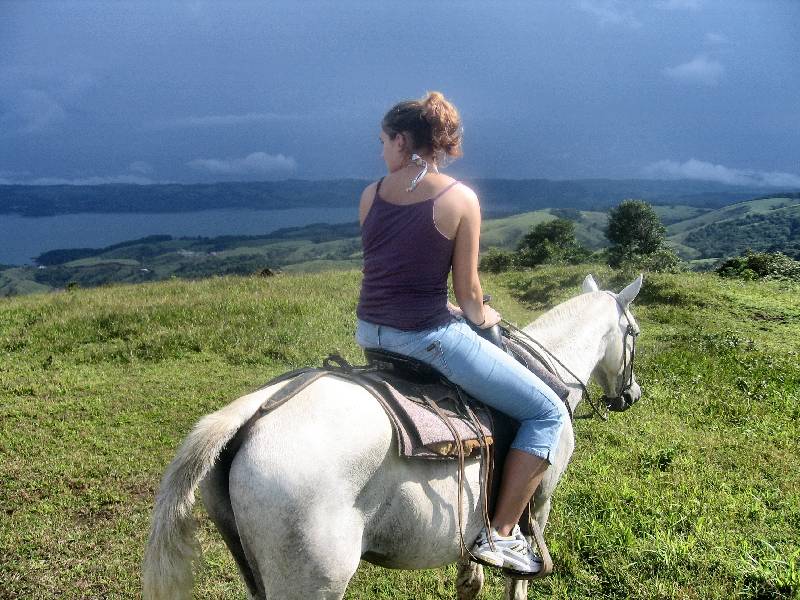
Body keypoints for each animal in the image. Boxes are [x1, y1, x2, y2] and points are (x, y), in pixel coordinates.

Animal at [144, 274, 644, 596]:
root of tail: (254, 413)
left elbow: (470, 577)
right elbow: (517, 578)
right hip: (310, 580)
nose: (631, 395)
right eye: (634, 332)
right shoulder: (537, 504)